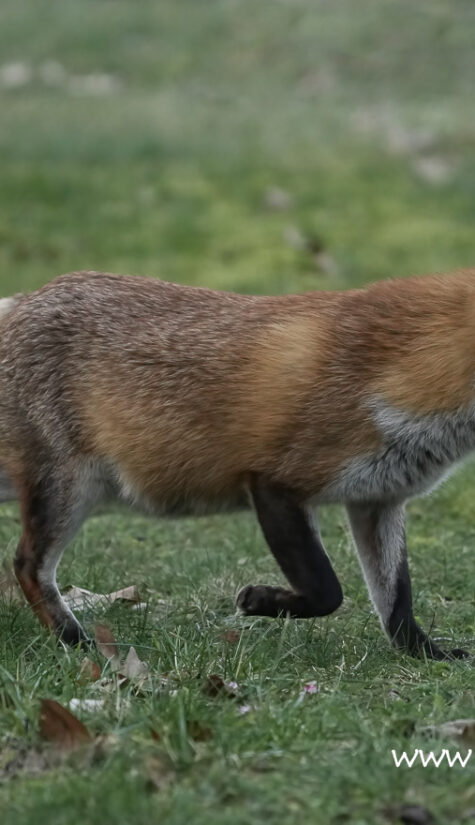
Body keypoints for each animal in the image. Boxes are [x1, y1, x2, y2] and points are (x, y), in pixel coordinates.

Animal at [0, 269, 473, 661]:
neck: (399, 371)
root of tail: (24, 299)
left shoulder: (378, 499)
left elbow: (397, 602)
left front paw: (426, 655)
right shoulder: (276, 483)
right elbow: (328, 592)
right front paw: (261, 601)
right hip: (68, 489)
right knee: (26, 564)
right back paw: (73, 641)